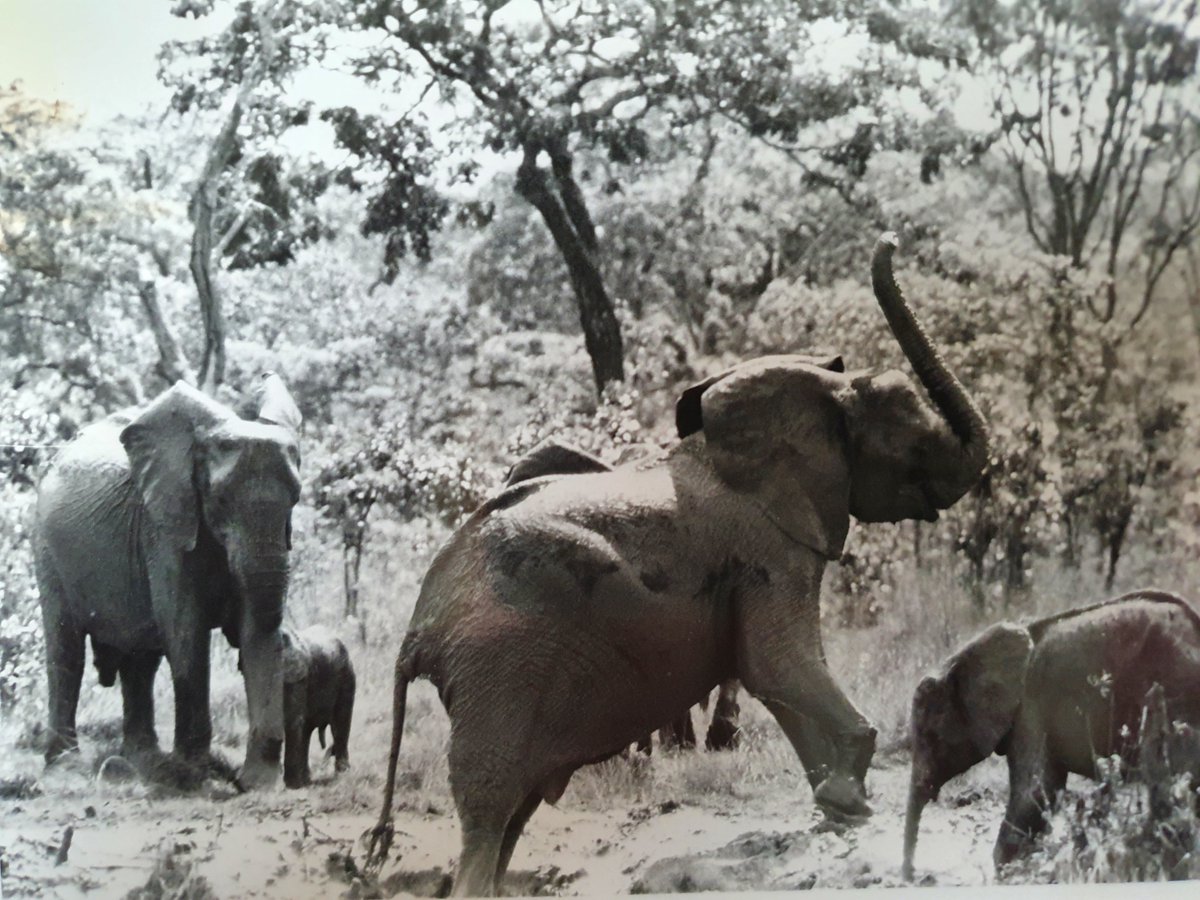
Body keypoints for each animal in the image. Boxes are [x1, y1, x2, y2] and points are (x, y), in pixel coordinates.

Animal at [33, 374, 303, 789]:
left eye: (296, 498)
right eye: (220, 501)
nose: (242, 780)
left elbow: (256, 627)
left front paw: (258, 785)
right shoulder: (163, 528)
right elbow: (185, 628)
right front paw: (195, 776)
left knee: (141, 659)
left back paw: (144, 761)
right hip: (48, 550)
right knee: (66, 652)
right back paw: (66, 772)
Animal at [280, 625, 356, 788]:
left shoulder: (298, 676)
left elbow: (293, 721)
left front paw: (292, 786)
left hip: (347, 675)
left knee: (340, 722)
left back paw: (342, 772)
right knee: (307, 731)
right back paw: (307, 779)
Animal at [368, 233, 989, 896]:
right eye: (913, 440)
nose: (889, 238)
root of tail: (417, 633)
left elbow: (774, 676)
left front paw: (837, 805)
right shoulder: (768, 545)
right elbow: (778, 662)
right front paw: (851, 798)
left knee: (517, 810)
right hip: (500, 666)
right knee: (490, 804)